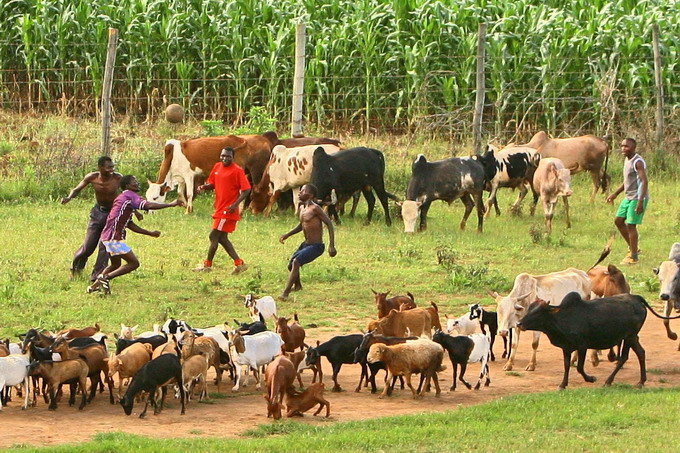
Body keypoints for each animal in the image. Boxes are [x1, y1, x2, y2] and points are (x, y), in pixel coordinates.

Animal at [516, 294, 680, 388]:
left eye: (538, 312)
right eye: (529, 308)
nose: (519, 323)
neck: (563, 318)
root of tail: (636, 298)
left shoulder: (582, 346)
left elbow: (579, 367)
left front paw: (591, 378)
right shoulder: (566, 348)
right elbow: (567, 366)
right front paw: (563, 384)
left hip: (630, 336)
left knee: (626, 357)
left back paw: (611, 381)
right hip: (632, 337)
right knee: (640, 353)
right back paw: (639, 381)